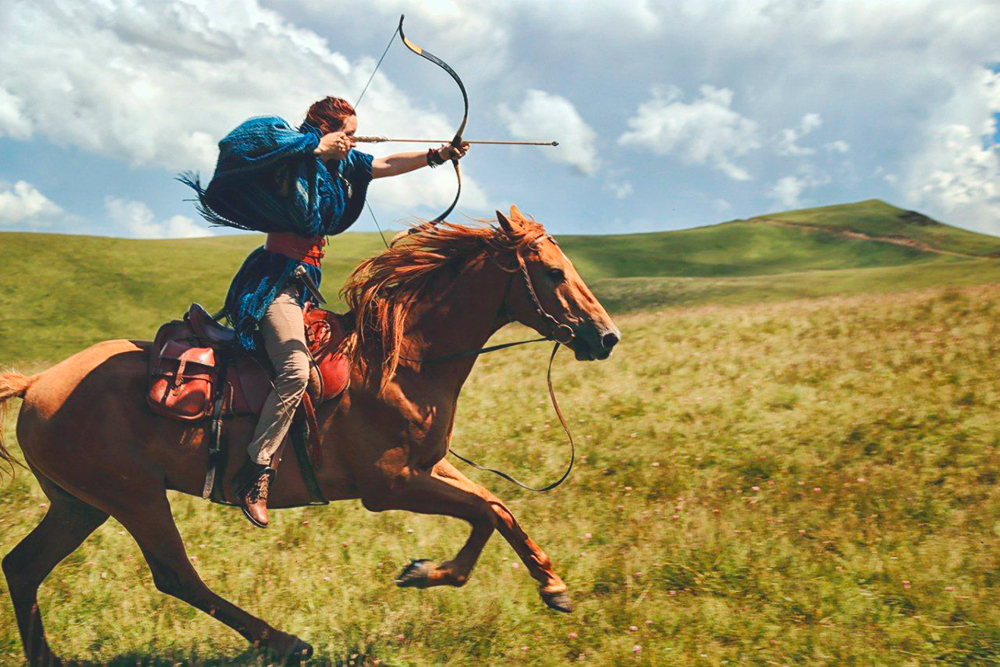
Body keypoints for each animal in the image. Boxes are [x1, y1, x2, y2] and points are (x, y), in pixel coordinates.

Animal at [0, 206, 620, 664]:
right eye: (553, 272)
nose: (607, 336)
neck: (406, 357)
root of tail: (38, 383)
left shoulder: (429, 466)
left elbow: (497, 507)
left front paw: (543, 584)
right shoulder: (389, 485)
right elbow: (487, 511)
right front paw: (435, 573)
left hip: (80, 505)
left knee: (24, 567)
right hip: (134, 498)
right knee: (176, 575)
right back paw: (286, 643)